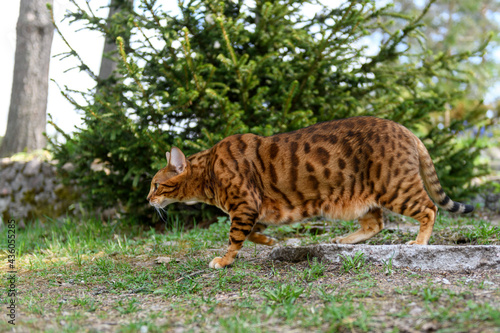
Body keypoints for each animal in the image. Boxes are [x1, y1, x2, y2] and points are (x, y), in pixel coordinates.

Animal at [147, 116, 472, 268]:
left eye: (156, 184)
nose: (148, 199)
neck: (209, 171)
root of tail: (408, 130)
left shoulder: (245, 205)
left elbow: (235, 237)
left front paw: (224, 260)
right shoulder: (255, 209)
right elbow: (252, 234)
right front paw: (270, 242)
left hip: (394, 186)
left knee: (429, 208)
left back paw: (420, 242)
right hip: (363, 196)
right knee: (375, 223)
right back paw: (344, 240)